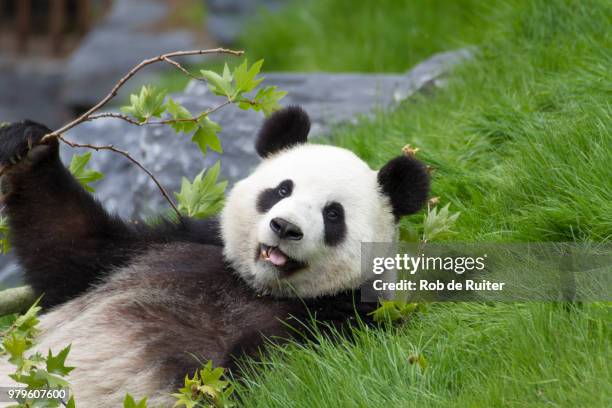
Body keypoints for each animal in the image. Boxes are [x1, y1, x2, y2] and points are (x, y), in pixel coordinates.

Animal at [0, 107, 430, 406]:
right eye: (282, 190)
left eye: (333, 214)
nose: (285, 227)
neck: (259, 287)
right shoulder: (172, 245)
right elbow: (69, 251)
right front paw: (29, 146)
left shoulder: (350, 320)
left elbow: (282, 374)